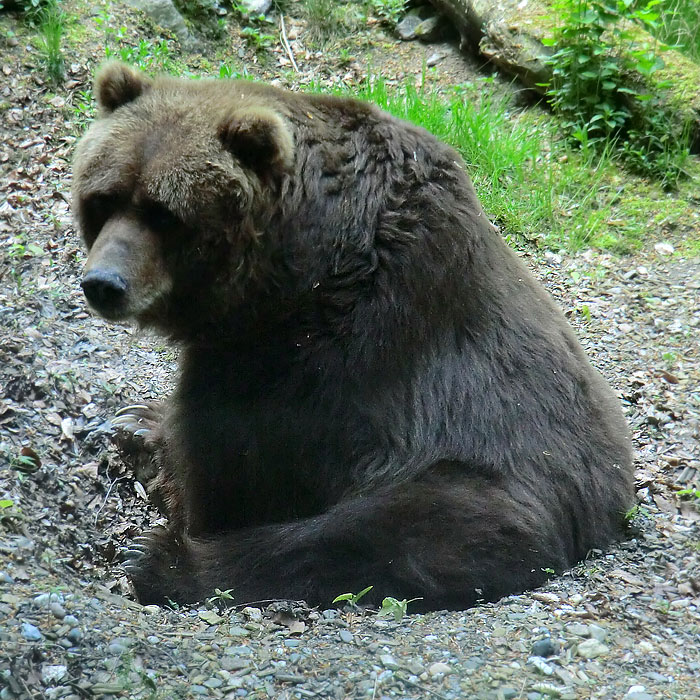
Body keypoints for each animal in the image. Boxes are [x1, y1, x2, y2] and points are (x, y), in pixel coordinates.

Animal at [72, 63, 636, 612]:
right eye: (104, 199)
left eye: (165, 213)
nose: (104, 283)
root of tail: (612, 499)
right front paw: (139, 422)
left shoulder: (332, 345)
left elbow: (241, 457)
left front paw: (181, 514)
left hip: (496, 471)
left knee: (401, 529)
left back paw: (162, 561)